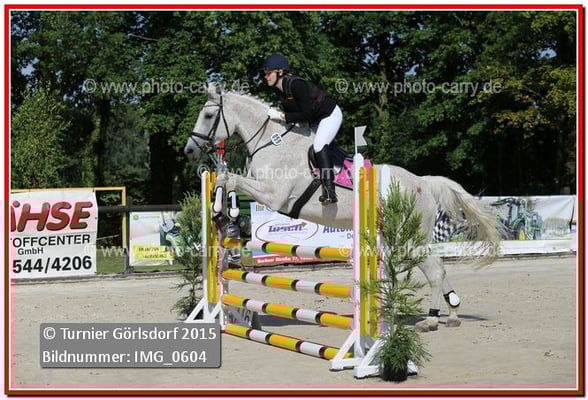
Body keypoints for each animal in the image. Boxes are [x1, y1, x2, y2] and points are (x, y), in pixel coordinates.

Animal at [184, 84, 501, 332]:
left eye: (208, 115)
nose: (189, 150)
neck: (271, 143)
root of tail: (422, 181)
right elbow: (225, 179)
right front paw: (225, 216)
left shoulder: (274, 196)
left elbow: (229, 177)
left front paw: (225, 212)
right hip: (408, 235)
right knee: (439, 268)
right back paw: (453, 313)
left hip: (410, 236)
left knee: (435, 270)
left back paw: (432, 320)